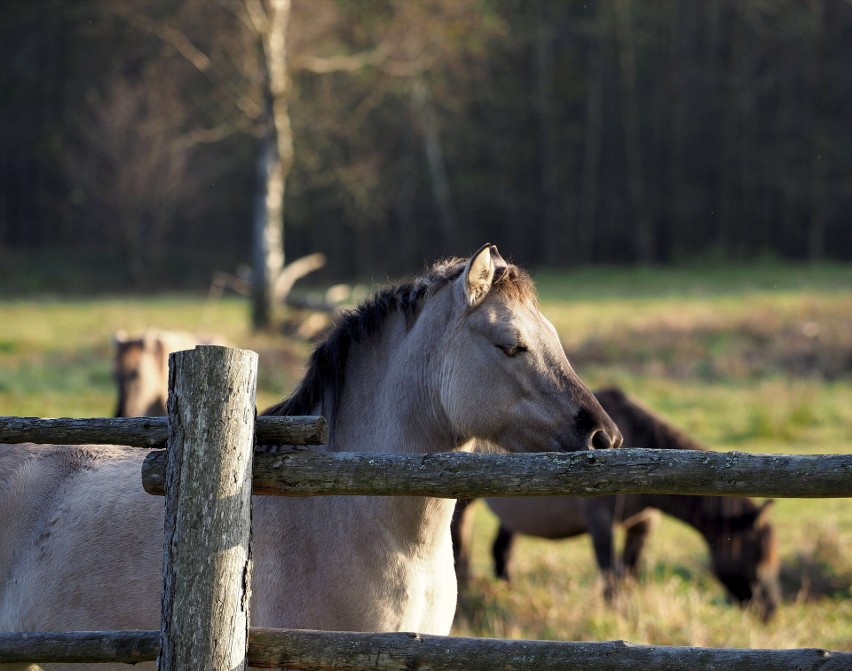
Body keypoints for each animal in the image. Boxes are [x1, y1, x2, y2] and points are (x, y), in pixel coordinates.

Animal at [456, 386, 784, 624]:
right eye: (757, 557)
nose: (770, 611)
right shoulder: (601, 523)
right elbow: (611, 578)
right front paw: (617, 621)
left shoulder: (641, 525)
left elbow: (629, 574)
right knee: (461, 549)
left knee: (502, 553)